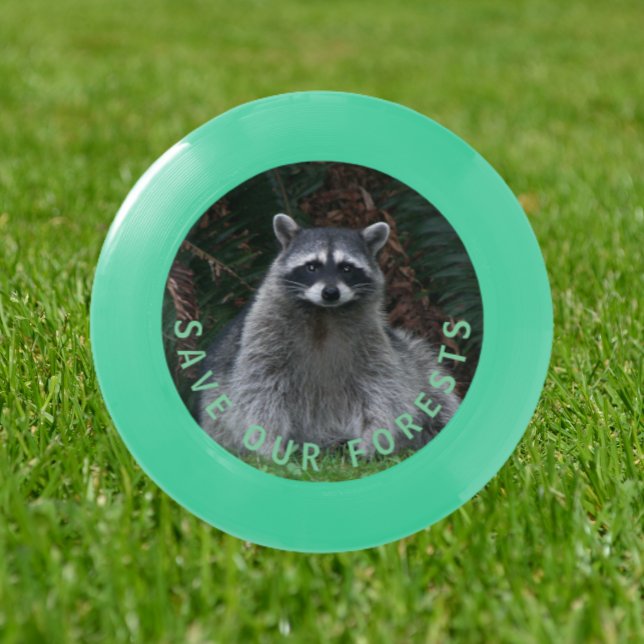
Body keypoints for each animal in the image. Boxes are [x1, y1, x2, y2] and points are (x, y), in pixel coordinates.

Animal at [196, 214, 460, 459]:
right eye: (312, 266)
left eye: (347, 268)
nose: (330, 292)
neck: (324, 313)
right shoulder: (261, 334)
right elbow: (259, 389)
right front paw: (267, 445)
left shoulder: (374, 340)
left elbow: (383, 389)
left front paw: (374, 439)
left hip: (413, 358)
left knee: (435, 394)